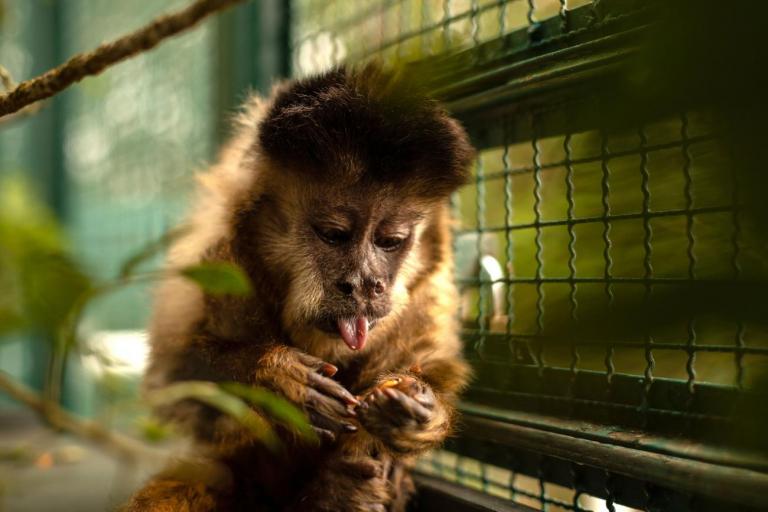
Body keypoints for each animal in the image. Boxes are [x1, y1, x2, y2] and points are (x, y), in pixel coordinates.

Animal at [125, 63, 475, 512]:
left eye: (390, 240)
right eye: (334, 235)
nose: (363, 283)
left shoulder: (429, 291)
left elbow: (431, 364)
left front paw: (418, 412)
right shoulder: (221, 256)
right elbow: (172, 386)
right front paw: (275, 379)